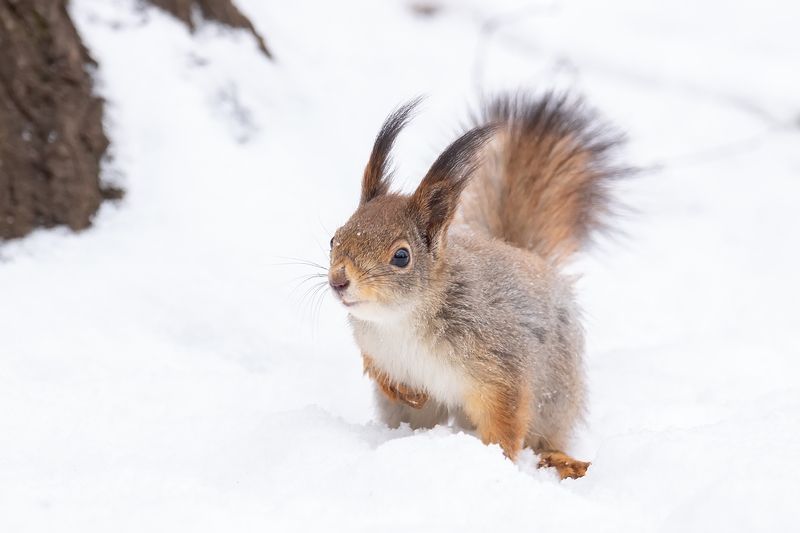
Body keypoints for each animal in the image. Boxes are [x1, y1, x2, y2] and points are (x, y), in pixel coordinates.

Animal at [328, 93, 624, 479]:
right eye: (334, 238)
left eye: (401, 256)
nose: (338, 280)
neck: (403, 320)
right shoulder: (375, 348)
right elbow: (381, 373)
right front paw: (408, 392)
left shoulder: (499, 363)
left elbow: (505, 417)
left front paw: (497, 460)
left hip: (554, 398)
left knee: (546, 436)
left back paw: (561, 459)